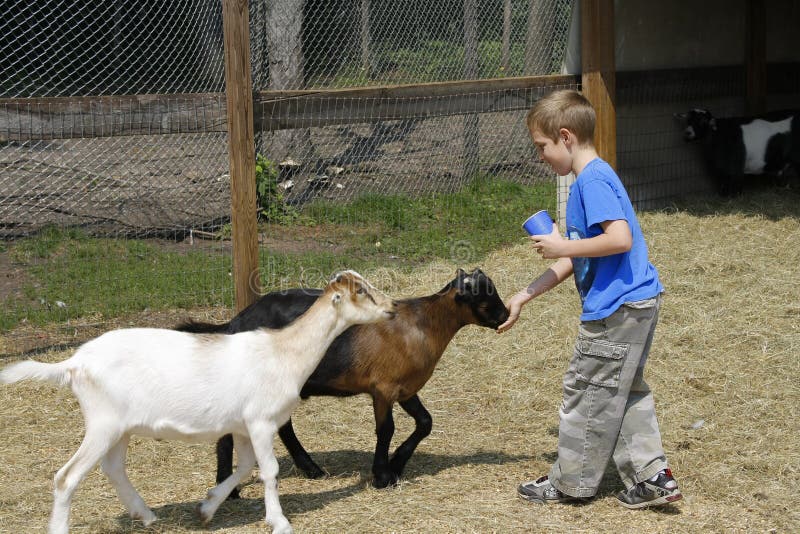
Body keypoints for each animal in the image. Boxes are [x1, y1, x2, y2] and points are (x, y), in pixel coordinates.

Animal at [0, 271, 396, 534]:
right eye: (361, 291)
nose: (392, 307)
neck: (282, 351)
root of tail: (75, 362)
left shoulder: (243, 426)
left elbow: (244, 467)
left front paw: (206, 508)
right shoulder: (261, 421)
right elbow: (269, 471)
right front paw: (280, 521)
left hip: (118, 427)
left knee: (113, 468)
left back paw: (146, 515)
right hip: (102, 423)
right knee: (66, 477)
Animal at [177, 268, 509, 494]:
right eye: (486, 293)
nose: (506, 314)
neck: (423, 323)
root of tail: (234, 323)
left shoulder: (405, 389)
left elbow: (425, 422)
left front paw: (397, 465)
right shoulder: (383, 389)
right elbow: (386, 429)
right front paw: (382, 475)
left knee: (281, 426)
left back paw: (311, 469)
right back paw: (229, 487)